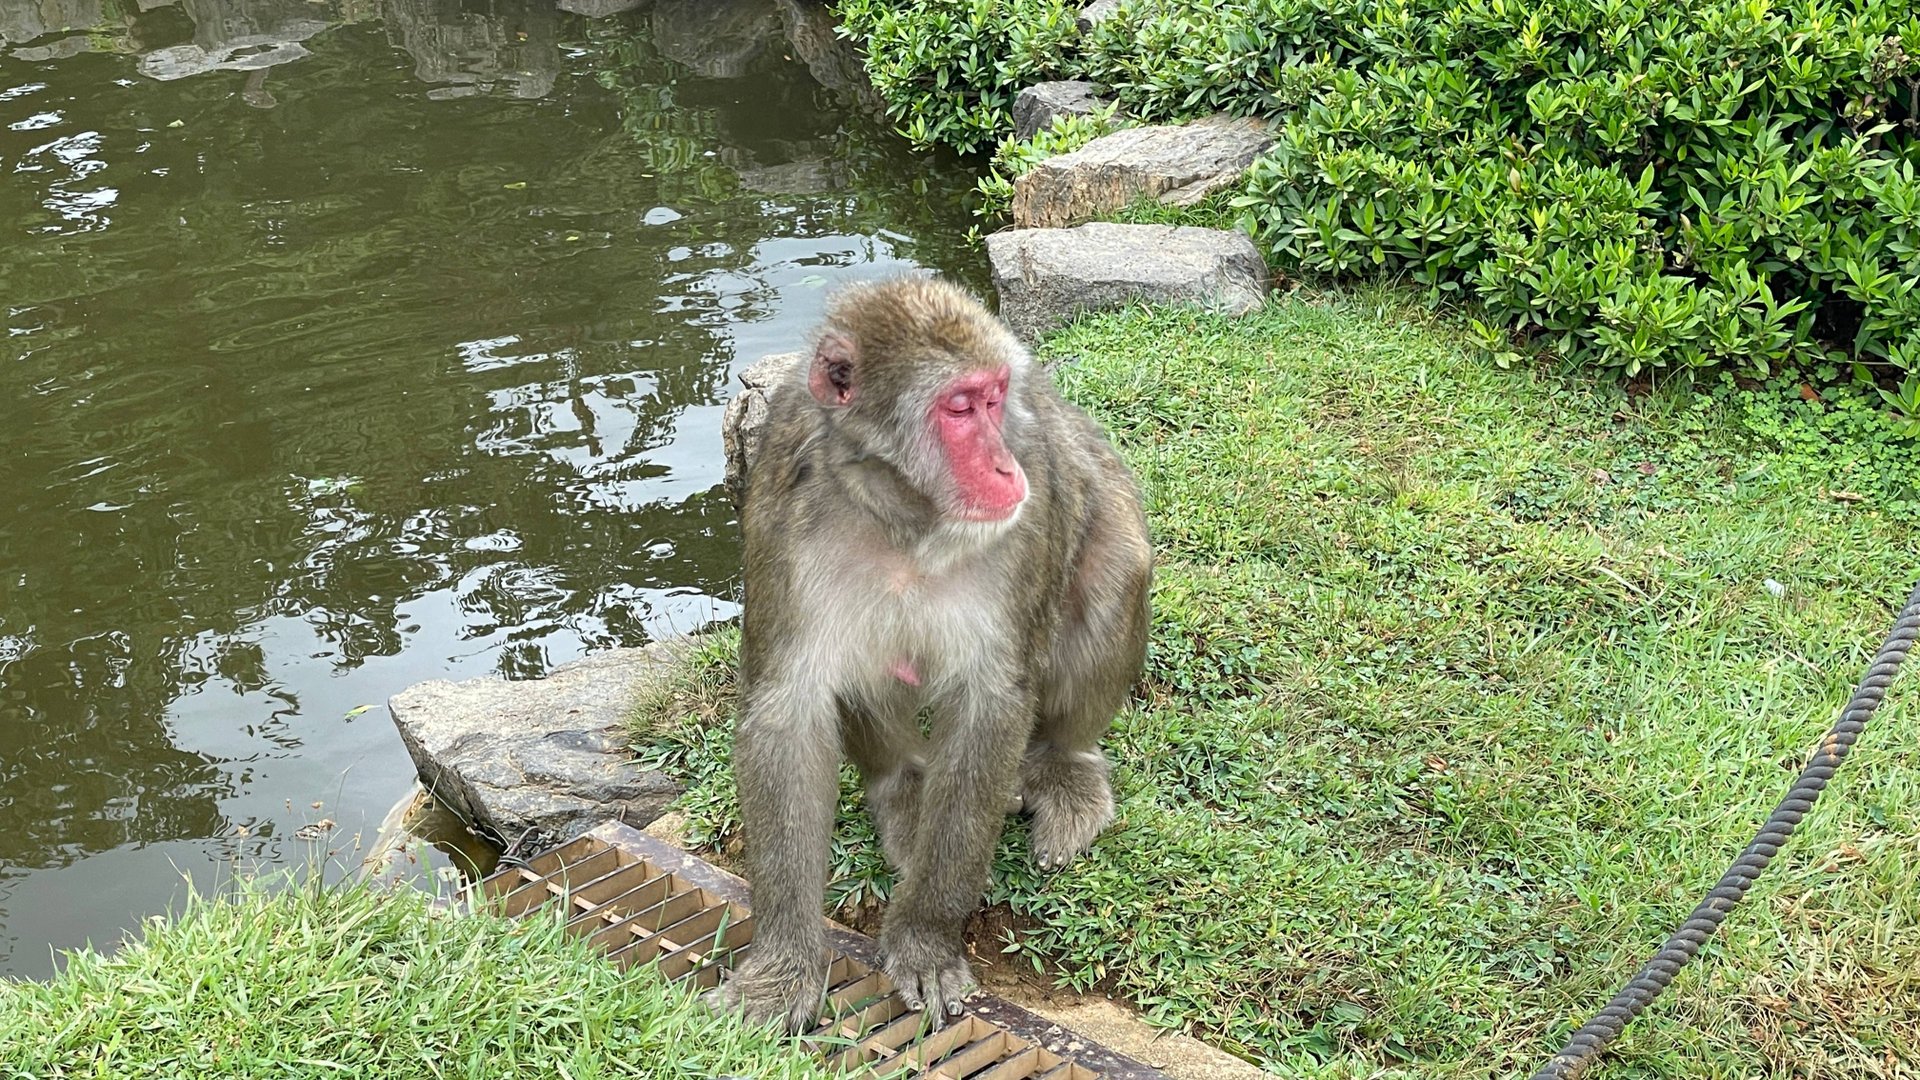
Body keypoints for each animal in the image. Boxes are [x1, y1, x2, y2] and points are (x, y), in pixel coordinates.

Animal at [709, 276, 1152, 1032]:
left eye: (996, 396)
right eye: (959, 407)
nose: (1005, 465)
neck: (904, 512)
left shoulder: (1022, 522)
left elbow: (990, 703)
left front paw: (925, 938)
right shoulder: (779, 506)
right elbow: (785, 713)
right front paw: (782, 965)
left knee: (1116, 567)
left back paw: (1063, 769)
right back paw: (904, 790)